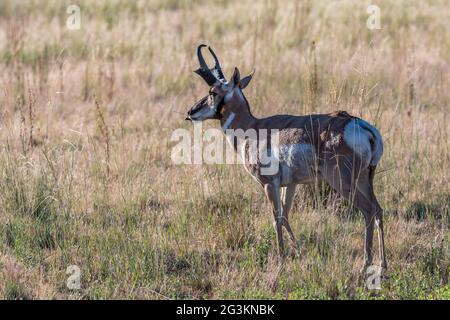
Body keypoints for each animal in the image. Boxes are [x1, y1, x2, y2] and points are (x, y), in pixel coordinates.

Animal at [185, 44, 386, 270]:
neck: (252, 127)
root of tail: (362, 126)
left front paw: (281, 259)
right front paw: (297, 251)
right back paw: (383, 264)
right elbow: (287, 215)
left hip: (343, 182)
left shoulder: (269, 184)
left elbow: (277, 218)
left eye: (213, 92)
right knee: (378, 210)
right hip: (365, 179)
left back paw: (366, 264)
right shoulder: (290, 185)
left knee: (368, 211)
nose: (190, 112)